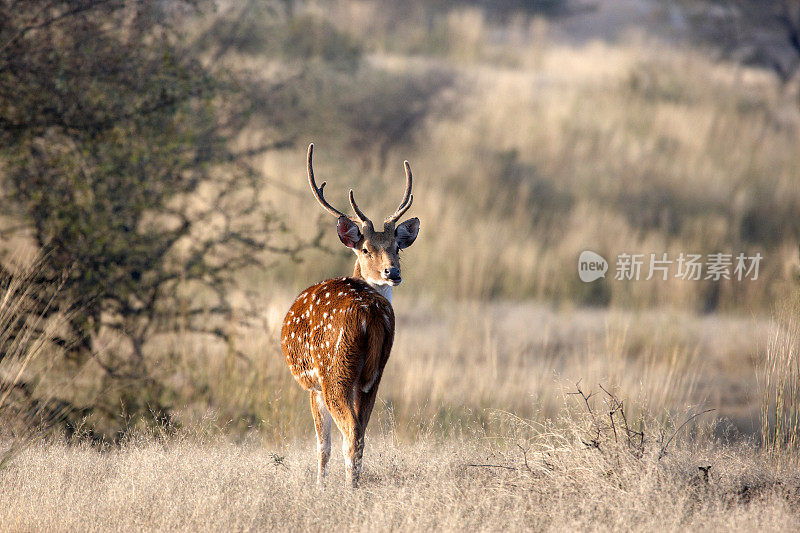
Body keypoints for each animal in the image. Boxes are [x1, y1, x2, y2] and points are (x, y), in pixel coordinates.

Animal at [280, 143, 418, 488]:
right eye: (367, 249)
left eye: (398, 247)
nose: (393, 272)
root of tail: (370, 312)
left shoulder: (312, 384)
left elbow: (322, 445)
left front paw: (319, 486)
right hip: (374, 373)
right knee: (362, 432)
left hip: (335, 371)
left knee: (350, 432)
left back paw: (348, 488)